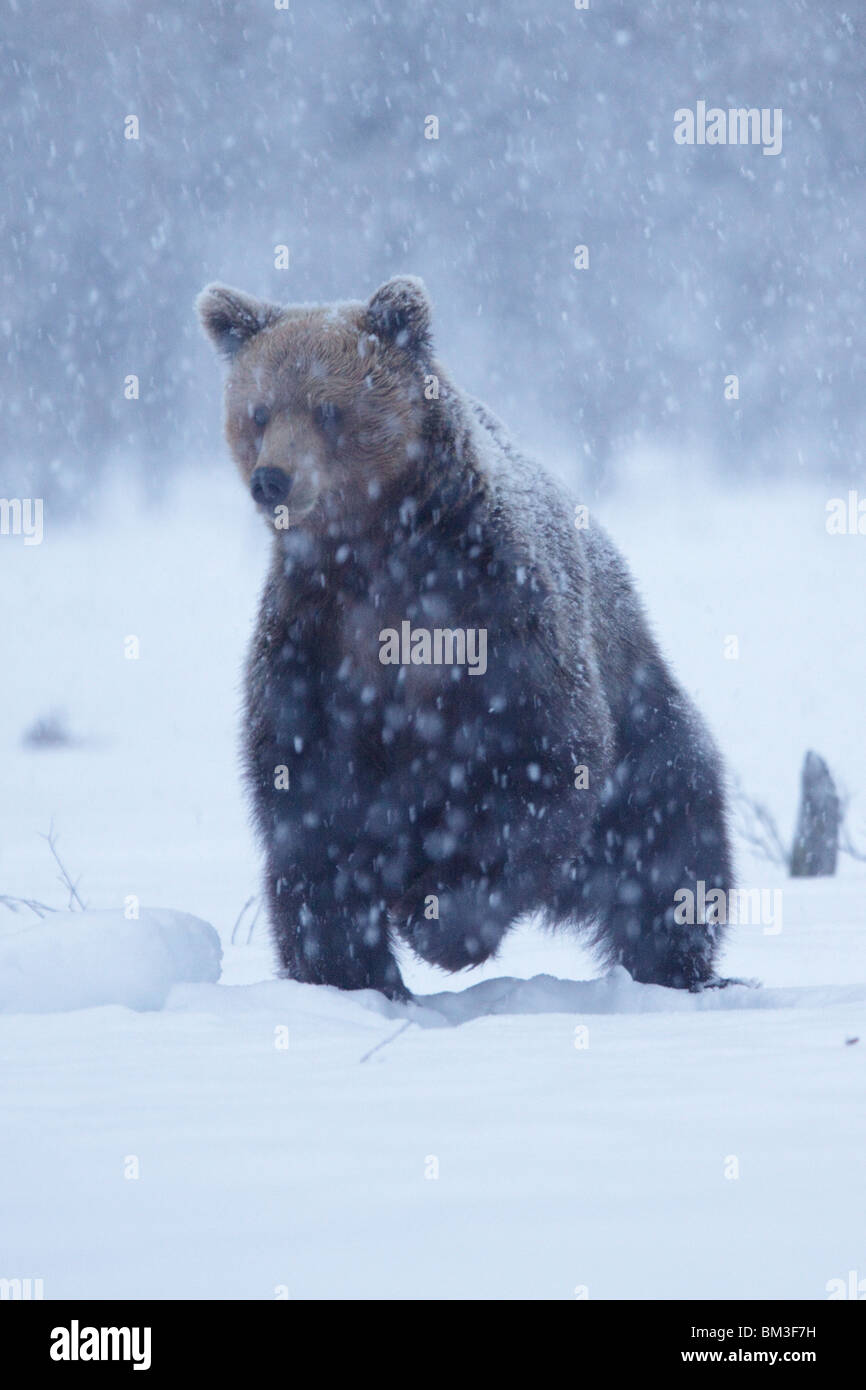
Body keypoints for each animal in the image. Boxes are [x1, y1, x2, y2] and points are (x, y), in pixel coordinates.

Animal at [200, 276, 733, 1000]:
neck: (382, 550)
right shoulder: (313, 634)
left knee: (671, 841)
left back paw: (678, 967)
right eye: (257, 412)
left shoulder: (495, 606)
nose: (273, 479)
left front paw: (440, 922)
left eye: (327, 409)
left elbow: (544, 754)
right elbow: (306, 793)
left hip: (644, 720)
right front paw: (349, 964)